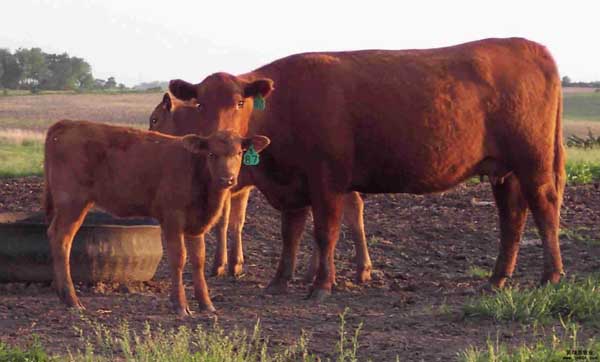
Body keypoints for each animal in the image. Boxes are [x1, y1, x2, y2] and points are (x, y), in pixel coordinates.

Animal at [45, 120, 270, 316]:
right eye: (212, 154)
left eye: (239, 153)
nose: (227, 179)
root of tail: (67, 123)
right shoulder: (172, 219)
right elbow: (178, 258)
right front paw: (180, 305)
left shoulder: (195, 224)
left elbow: (198, 260)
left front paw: (206, 304)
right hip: (72, 203)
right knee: (62, 239)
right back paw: (72, 299)